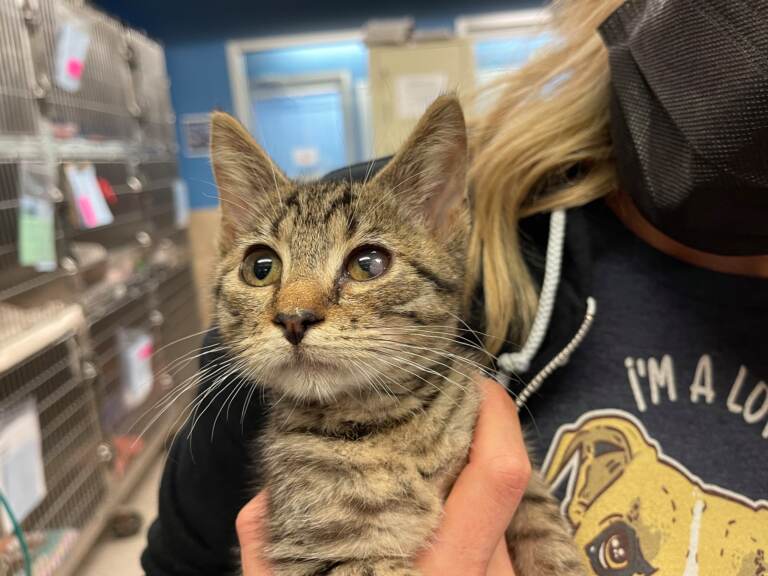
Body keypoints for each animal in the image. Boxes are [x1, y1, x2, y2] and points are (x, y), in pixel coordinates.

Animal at [210, 97, 584, 572]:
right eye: (260, 268)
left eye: (367, 264)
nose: (294, 318)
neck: (390, 426)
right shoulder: (317, 550)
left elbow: (541, 519)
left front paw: (558, 557)